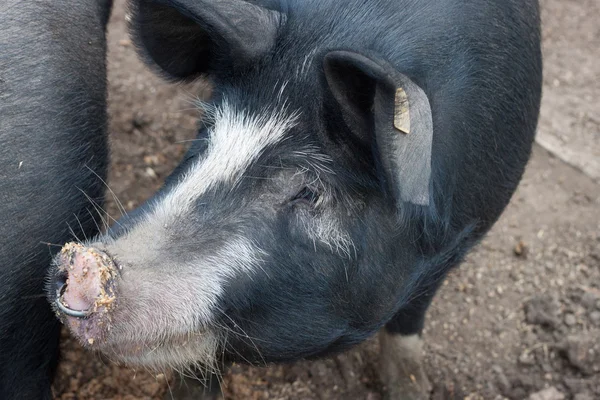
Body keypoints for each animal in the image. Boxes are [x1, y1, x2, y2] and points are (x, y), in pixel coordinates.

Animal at [48, 0, 544, 398]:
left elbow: (410, 319)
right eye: (206, 136)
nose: (83, 262)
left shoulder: (465, 232)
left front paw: (411, 389)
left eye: (309, 190)